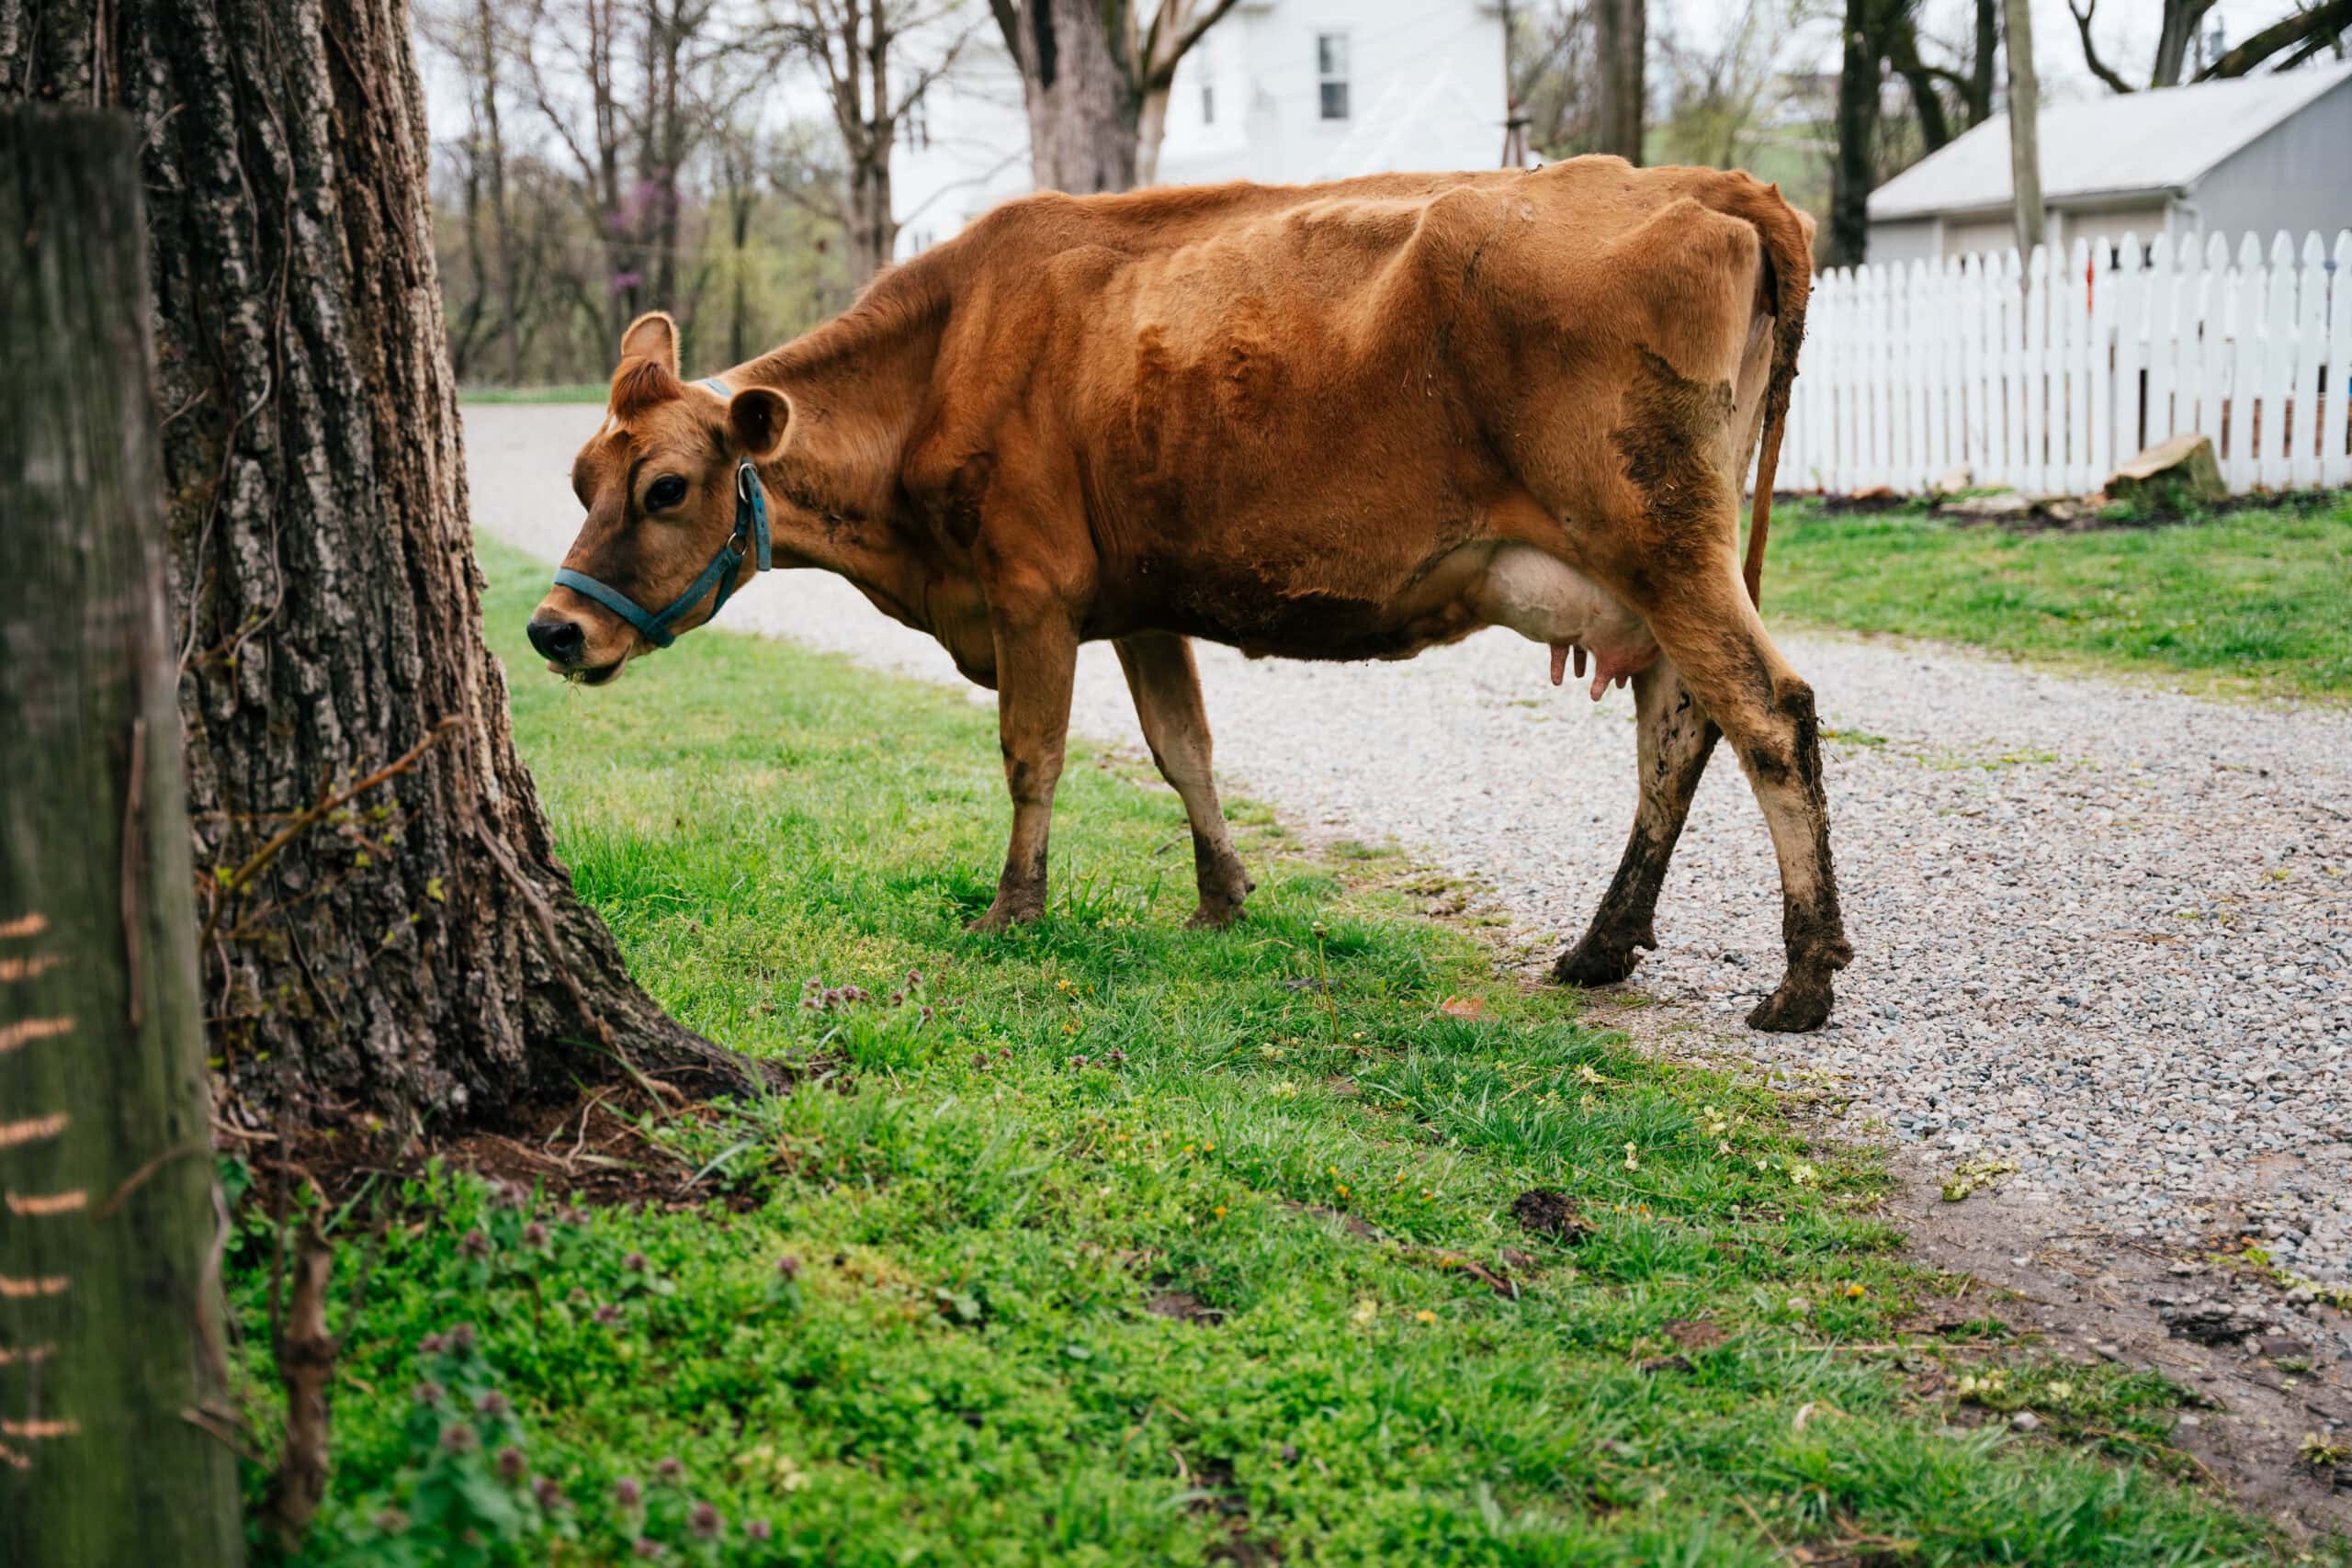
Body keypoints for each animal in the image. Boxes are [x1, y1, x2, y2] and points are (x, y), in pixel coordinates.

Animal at [527, 157, 1853, 1031]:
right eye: (580, 474)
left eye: (664, 487)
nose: (552, 627)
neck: (946, 355)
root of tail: (1708, 183)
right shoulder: (1140, 600)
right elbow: (1184, 748)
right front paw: (1223, 898)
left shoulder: (1030, 591)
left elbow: (1032, 755)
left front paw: (1015, 910)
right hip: (1659, 563)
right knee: (1678, 730)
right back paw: (1600, 945)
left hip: (1659, 544)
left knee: (1766, 711)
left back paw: (1799, 976)